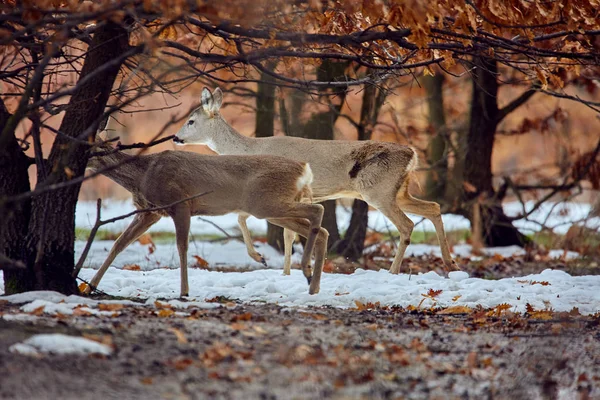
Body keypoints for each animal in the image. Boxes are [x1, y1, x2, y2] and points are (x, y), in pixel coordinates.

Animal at [85, 131, 328, 296]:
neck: (142, 176)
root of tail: (304, 170)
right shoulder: (150, 212)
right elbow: (119, 244)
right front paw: (92, 286)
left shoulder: (181, 203)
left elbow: (182, 247)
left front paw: (184, 291)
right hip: (271, 208)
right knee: (322, 230)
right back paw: (313, 286)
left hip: (265, 203)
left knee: (318, 210)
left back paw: (306, 270)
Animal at [173, 87, 460, 276]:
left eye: (191, 121)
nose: (175, 137)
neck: (250, 149)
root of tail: (412, 154)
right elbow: (285, 232)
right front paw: (287, 271)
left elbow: (255, 221)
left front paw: (263, 259)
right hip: (398, 191)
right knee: (433, 207)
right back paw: (450, 264)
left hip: (378, 190)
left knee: (407, 224)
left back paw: (393, 270)